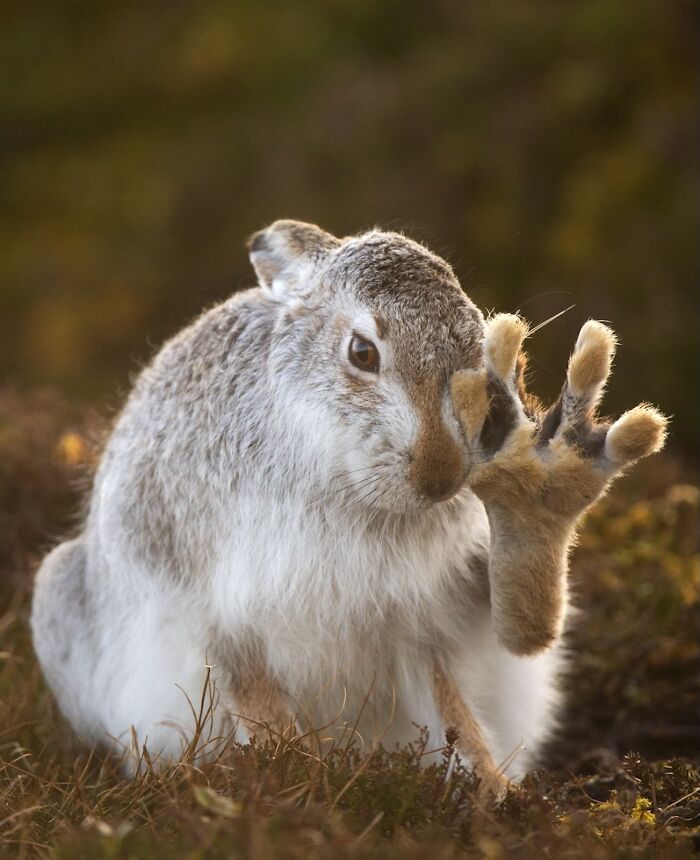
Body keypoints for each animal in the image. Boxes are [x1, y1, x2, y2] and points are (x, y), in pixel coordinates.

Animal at [31, 220, 667, 786]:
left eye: (482, 361)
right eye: (362, 352)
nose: (440, 477)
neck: (346, 479)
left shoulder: (424, 624)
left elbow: (509, 654)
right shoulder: (216, 609)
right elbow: (255, 701)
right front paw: (288, 775)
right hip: (58, 595)